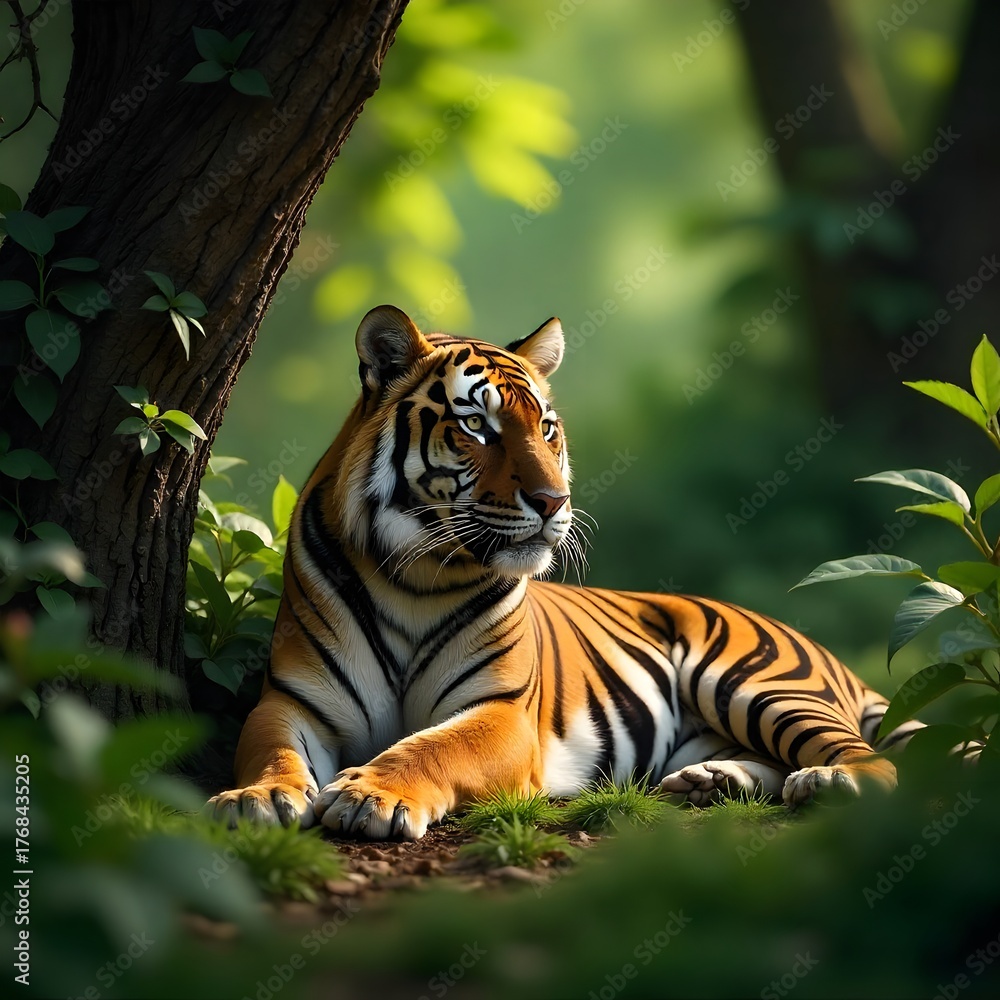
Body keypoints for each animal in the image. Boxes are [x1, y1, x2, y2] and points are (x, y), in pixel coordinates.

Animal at [207, 304, 919, 839]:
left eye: (546, 428)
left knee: (874, 761)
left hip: (755, 681)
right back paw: (711, 782)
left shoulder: (502, 713)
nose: (554, 501)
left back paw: (827, 783)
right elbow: (269, 749)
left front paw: (369, 796)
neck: (416, 574)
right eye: (477, 425)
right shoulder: (293, 699)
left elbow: (432, 745)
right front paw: (256, 798)